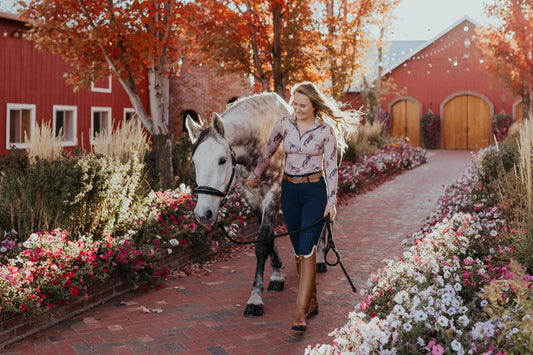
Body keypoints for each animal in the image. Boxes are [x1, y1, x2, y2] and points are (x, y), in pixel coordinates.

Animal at [187, 92, 328, 318]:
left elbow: (261, 244)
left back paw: (321, 259)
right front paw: (277, 275)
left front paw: (255, 298)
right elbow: (268, 238)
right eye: (194, 162)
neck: (260, 141)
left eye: (222, 160)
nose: (203, 214)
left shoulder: (273, 195)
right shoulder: (252, 197)